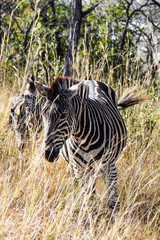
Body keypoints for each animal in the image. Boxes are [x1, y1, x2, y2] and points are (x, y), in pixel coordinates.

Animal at [35, 76, 146, 208]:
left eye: (63, 115)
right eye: (43, 113)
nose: (48, 153)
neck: (84, 139)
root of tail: (91, 80)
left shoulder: (109, 164)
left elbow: (113, 200)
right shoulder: (79, 167)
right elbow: (89, 199)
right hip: (80, 167)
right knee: (79, 186)